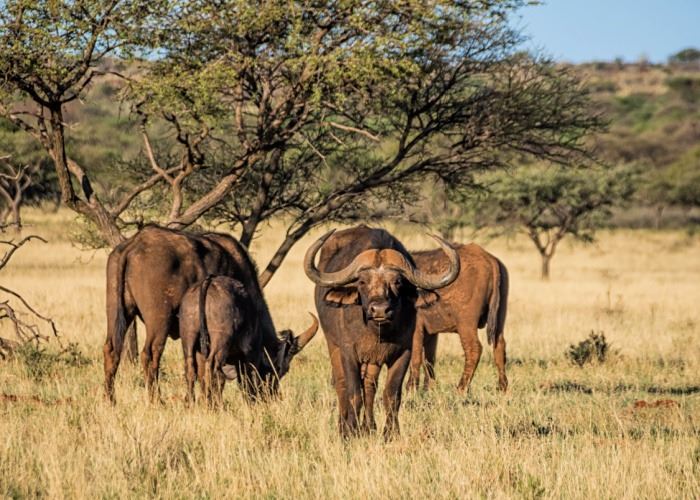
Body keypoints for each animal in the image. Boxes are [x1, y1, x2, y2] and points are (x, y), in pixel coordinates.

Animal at [179, 275, 318, 405]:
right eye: (281, 369)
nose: (271, 394)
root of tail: (208, 282)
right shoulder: (251, 356)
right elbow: (248, 382)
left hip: (189, 339)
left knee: (191, 370)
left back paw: (192, 403)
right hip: (220, 343)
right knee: (215, 371)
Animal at [304, 225, 460, 438]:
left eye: (398, 281)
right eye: (362, 282)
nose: (379, 310)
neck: (377, 332)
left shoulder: (403, 353)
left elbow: (391, 394)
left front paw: (390, 433)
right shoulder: (349, 353)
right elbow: (354, 393)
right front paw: (350, 431)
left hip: (373, 361)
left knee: (370, 385)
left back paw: (369, 427)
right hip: (333, 345)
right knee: (342, 384)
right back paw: (343, 426)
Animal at [406, 243, 509, 393]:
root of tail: (488, 258)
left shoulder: (417, 330)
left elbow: (415, 358)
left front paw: (411, 389)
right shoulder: (431, 333)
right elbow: (428, 360)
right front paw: (428, 389)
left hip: (465, 325)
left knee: (474, 349)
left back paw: (461, 389)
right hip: (499, 321)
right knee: (499, 346)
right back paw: (502, 387)